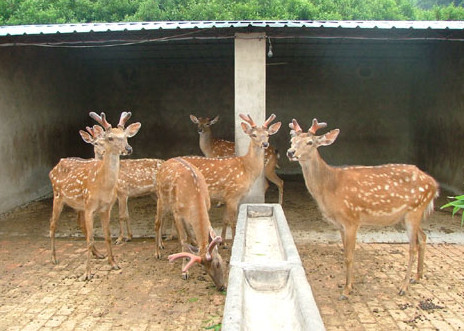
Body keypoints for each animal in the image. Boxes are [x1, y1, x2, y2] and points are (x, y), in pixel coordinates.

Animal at [49, 111, 140, 280]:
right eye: (110, 137)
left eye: (126, 136)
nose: (128, 148)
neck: (102, 186)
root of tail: (55, 167)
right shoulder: (89, 207)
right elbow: (90, 239)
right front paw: (87, 273)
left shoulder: (106, 208)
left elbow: (108, 235)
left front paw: (113, 263)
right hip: (57, 196)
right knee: (53, 224)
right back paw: (54, 258)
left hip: (78, 205)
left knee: (79, 225)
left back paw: (98, 254)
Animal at [155, 158, 226, 290]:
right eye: (205, 269)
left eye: (218, 263)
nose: (221, 287)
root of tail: (165, 162)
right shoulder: (178, 213)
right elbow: (183, 240)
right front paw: (184, 271)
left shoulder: (206, 207)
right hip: (161, 198)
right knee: (157, 222)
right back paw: (157, 252)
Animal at [183, 114, 280, 246]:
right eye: (253, 134)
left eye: (268, 134)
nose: (265, 144)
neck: (246, 168)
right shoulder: (233, 195)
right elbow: (233, 221)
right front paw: (232, 242)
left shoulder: (228, 197)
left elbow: (225, 219)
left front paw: (223, 242)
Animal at [286, 118, 438, 300]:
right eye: (292, 140)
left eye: (310, 142)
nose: (290, 152)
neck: (330, 187)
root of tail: (434, 185)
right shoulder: (340, 225)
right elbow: (345, 253)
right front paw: (348, 284)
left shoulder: (352, 219)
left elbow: (349, 256)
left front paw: (346, 290)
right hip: (409, 214)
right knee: (423, 237)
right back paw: (417, 276)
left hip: (415, 209)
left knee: (412, 247)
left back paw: (404, 286)